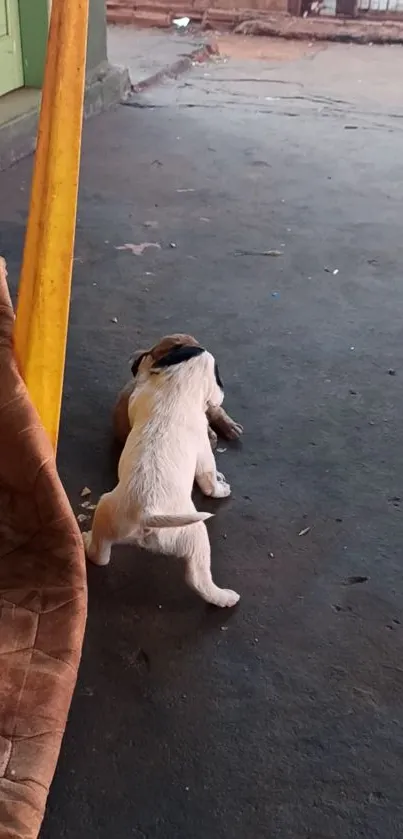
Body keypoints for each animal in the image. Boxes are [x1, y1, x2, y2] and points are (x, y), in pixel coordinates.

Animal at [83, 344, 240, 608]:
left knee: (99, 555)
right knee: (198, 580)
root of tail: (148, 515)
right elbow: (208, 478)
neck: (178, 387)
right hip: (194, 535)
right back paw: (225, 597)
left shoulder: (139, 398)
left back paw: (86, 541)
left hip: (107, 514)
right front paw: (220, 488)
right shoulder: (204, 451)